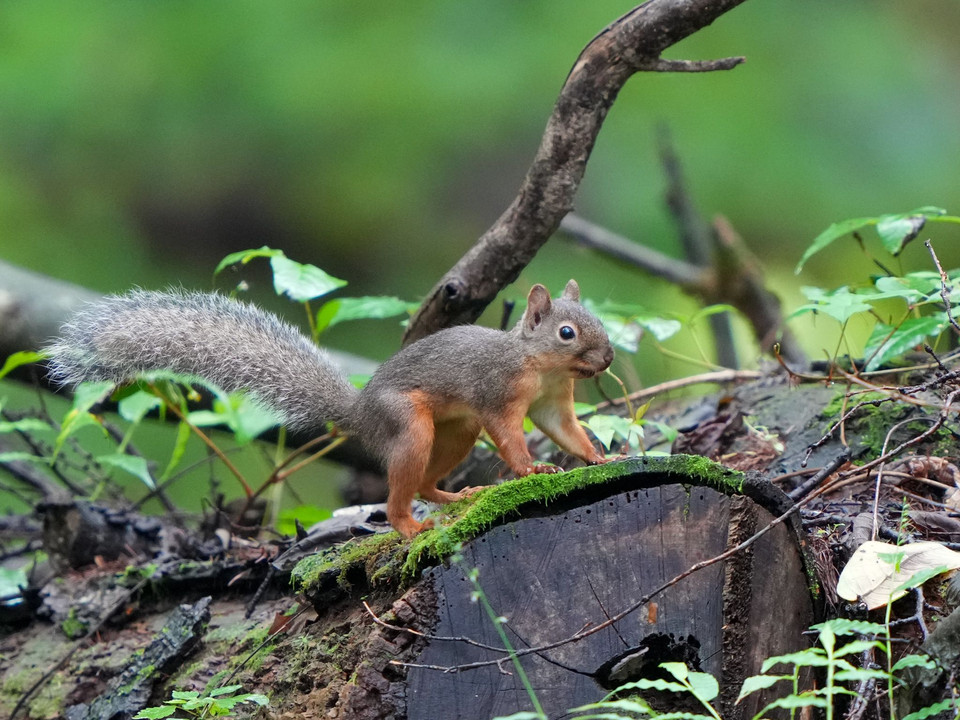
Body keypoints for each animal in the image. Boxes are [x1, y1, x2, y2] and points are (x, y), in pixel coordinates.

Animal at [47, 278, 616, 536]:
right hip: (411, 426)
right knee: (398, 493)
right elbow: (510, 434)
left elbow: (568, 431)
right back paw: (409, 526)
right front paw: (531, 468)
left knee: (426, 482)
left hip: (454, 433)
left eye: (597, 321)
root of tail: (360, 413)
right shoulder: (498, 393)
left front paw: (599, 457)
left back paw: (453, 496)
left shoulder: (554, 404)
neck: (541, 367)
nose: (608, 358)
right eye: (567, 332)